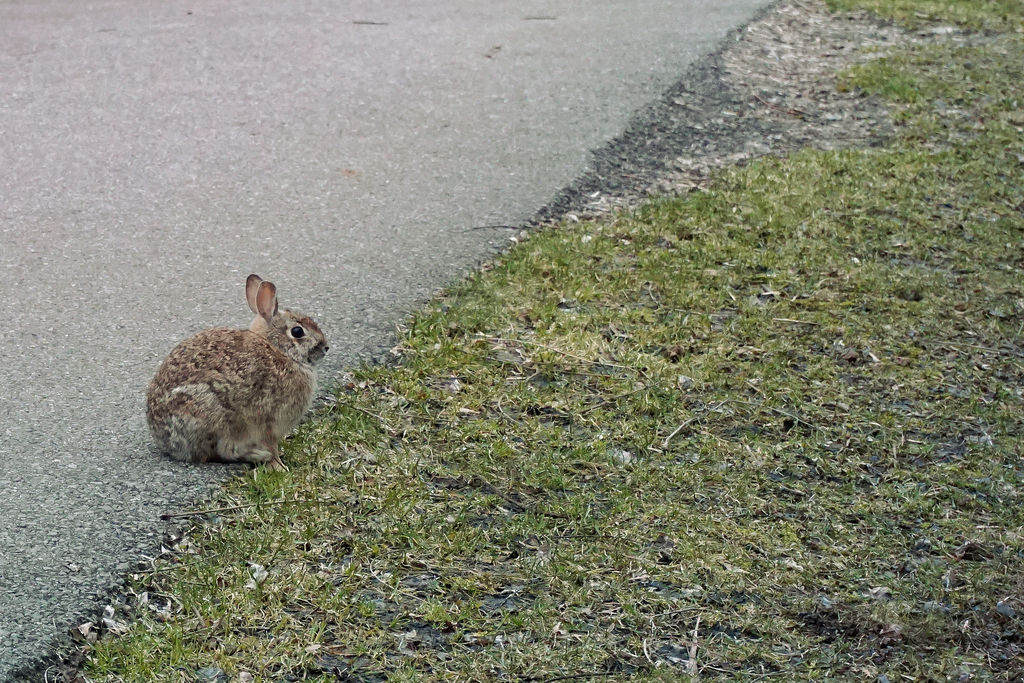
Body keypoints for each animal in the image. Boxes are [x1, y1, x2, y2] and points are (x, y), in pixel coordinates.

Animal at [146, 274, 329, 471]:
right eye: (297, 331)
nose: (326, 347)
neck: (278, 350)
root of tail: (166, 442)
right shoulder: (268, 420)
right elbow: (271, 445)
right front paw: (278, 466)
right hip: (219, 418)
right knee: (225, 451)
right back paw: (258, 455)